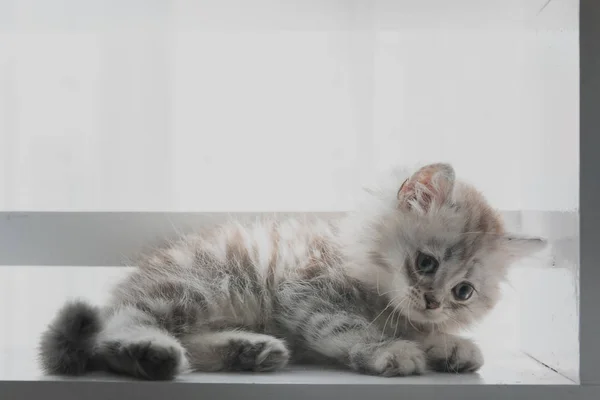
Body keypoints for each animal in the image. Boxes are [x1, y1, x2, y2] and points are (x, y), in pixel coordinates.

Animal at [36, 163, 544, 382]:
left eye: (464, 291)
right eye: (426, 263)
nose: (434, 301)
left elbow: (421, 330)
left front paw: (449, 344)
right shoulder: (306, 289)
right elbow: (347, 325)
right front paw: (391, 351)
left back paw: (250, 351)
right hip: (196, 285)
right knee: (120, 328)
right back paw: (152, 354)